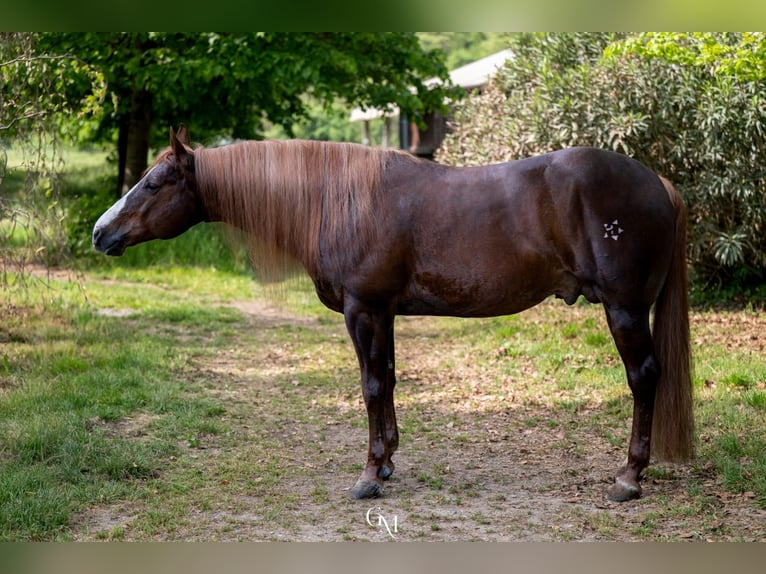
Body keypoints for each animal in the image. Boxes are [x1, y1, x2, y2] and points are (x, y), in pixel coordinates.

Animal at [93, 125, 694, 503]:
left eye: (154, 182)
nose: (101, 233)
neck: (337, 200)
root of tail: (658, 182)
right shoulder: (384, 314)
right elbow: (390, 380)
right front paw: (386, 461)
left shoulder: (364, 310)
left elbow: (371, 386)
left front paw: (369, 475)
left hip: (624, 310)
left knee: (644, 378)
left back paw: (629, 477)